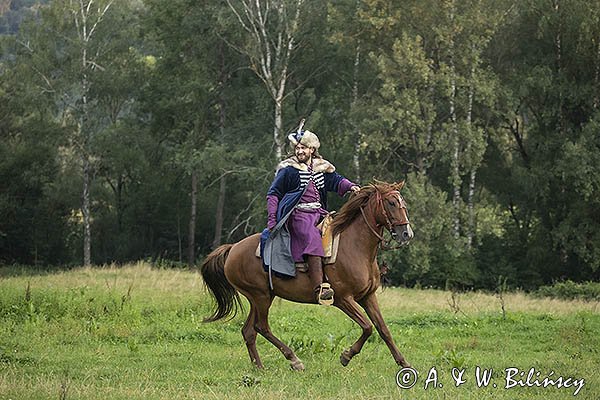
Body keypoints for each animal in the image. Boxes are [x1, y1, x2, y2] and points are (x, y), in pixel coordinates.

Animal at [200, 180, 412, 370]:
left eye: (403, 203)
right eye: (391, 203)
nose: (406, 234)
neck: (355, 247)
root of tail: (233, 248)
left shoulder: (368, 296)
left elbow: (383, 329)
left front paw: (404, 363)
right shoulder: (343, 299)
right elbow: (367, 327)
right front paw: (346, 356)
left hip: (260, 297)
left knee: (249, 331)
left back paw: (259, 366)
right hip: (260, 297)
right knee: (262, 327)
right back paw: (294, 360)